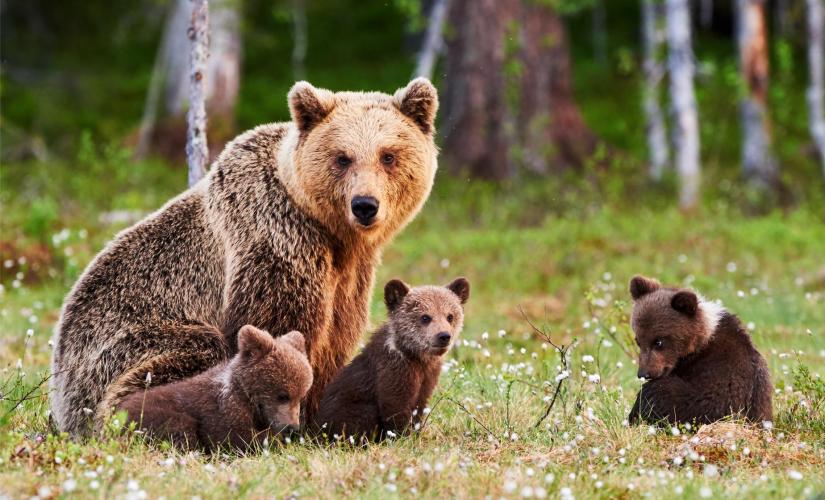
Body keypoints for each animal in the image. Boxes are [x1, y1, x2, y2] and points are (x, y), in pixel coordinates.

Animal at [50, 78, 440, 436]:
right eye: (342, 157)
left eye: (388, 155)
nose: (364, 205)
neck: (331, 233)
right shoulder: (275, 240)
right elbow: (278, 329)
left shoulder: (350, 275)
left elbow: (335, 338)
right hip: (122, 347)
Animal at [314, 277, 470, 440]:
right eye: (425, 317)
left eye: (450, 316)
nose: (444, 336)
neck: (415, 356)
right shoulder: (394, 370)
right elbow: (395, 407)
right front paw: (402, 436)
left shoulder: (428, 376)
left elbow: (419, 406)